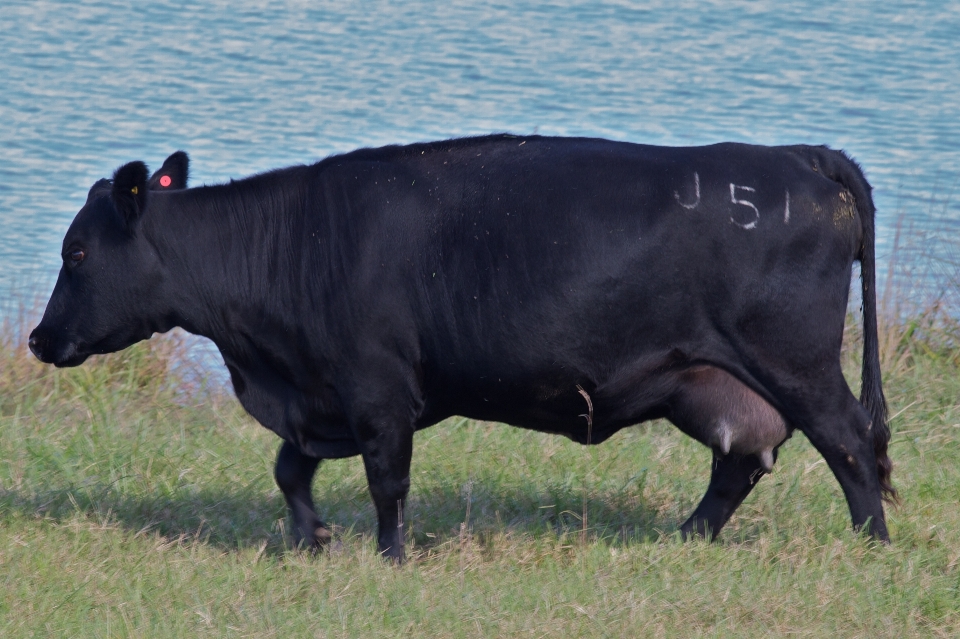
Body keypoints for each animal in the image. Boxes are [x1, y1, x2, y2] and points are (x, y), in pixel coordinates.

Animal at [28, 135, 892, 560]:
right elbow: (289, 468)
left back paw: (872, 540)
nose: (37, 337)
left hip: (797, 362)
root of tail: (798, 158)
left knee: (851, 440)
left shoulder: (376, 388)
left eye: (76, 251)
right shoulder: (322, 391)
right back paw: (688, 536)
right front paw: (311, 537)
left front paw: (390, 556)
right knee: (743, 459)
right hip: (710, 377)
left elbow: (388, 480)